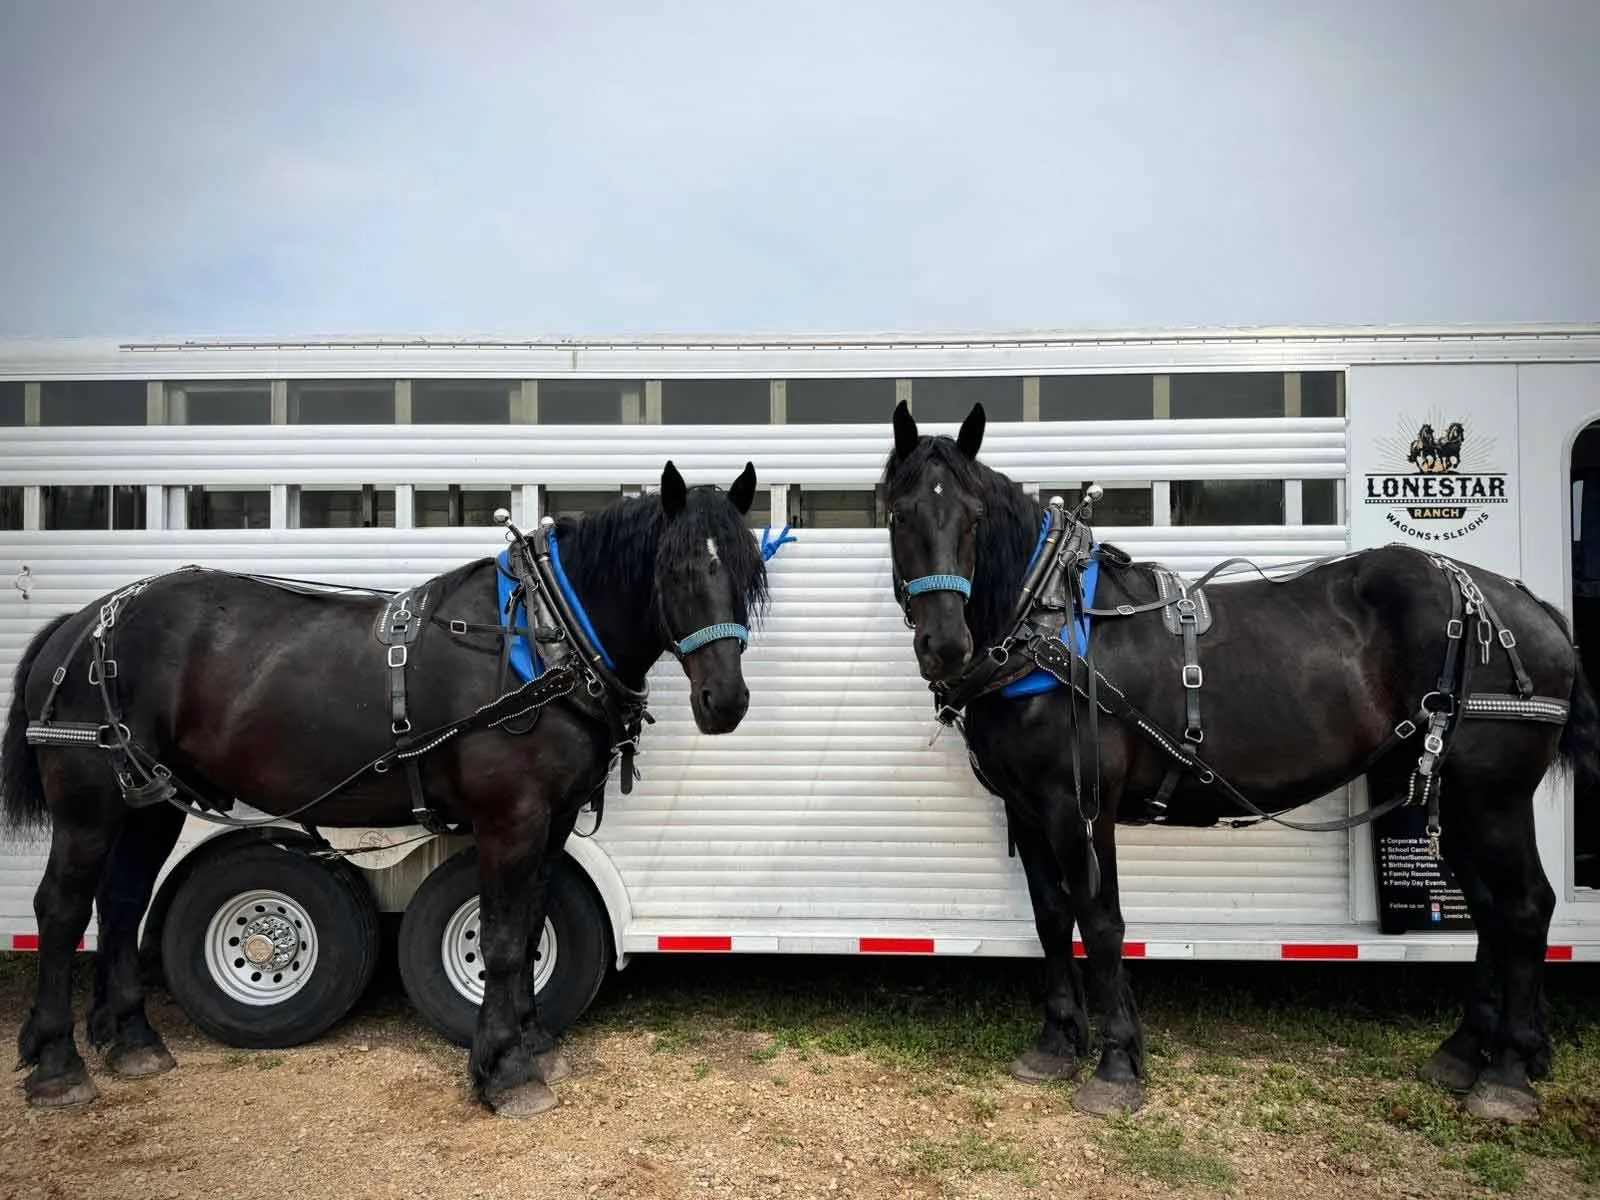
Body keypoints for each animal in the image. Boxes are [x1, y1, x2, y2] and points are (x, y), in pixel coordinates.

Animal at [1, 460, 768, 1118]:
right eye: (676, 569)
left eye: (749, 571)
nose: (725, 701)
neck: (541, 638)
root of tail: (85, 624)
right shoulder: (511, 817)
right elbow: (501, 939)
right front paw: (504, 1070)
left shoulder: (553, 818)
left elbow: (530, 925)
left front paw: (532, 1042)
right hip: (88, 803)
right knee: (62, 908)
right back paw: (57, 1063)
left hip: (150, 802)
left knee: (122, 902)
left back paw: (131, 1039)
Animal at [882, 400, 1598, 1125]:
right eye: (898, 513)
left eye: (973, 517)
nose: (944, 644)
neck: (1048, 627)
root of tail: (1524, 606)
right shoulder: (1026, 807)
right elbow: (1053, 917)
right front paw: (1055, 1044)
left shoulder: (1079, 807)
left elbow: (1100, 920)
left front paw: (1117, 1066)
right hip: (1447, 792)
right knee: (1488, 908)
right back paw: (1464, 1052)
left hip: (1492, 794)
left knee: (1524, 907)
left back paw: (1507, 1074)